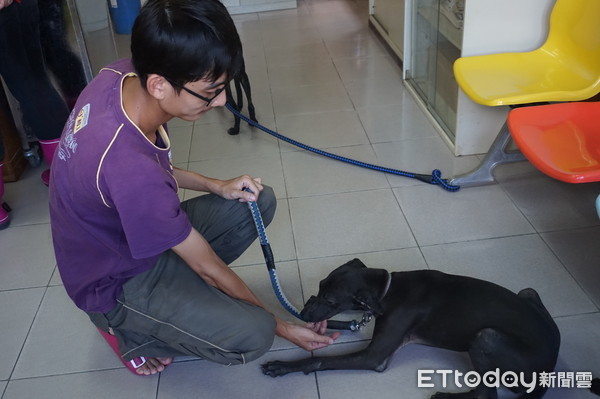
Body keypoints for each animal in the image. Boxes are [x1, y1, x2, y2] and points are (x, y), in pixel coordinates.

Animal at [260, 258, 564, 398]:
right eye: (321, 285)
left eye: (331, 300)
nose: (303, 313)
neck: (387, 288)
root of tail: (551, 368)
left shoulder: (375, 358)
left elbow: (320, 361)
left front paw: (282, 366)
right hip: (528, 292)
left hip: (485, 337)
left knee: (486, 394)